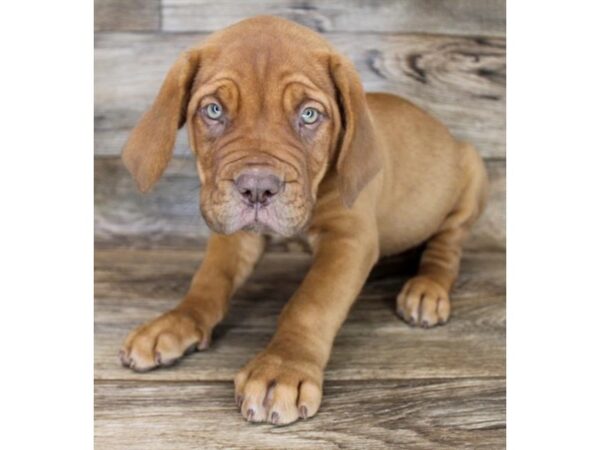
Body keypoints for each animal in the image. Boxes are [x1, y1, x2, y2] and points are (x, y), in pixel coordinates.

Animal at [117, 15, 488, 426]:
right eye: (213, 110)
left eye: (309, 114)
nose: (257, 188)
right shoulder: (236, 233)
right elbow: (210, 279)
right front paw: (176, 320)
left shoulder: (349, 239)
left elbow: (312, 302)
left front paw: (282, 368)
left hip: (472, 171)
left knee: (447, 244)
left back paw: (427, 289)